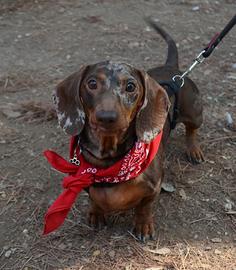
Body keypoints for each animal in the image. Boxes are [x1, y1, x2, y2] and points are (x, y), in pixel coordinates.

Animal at [52, 21, 204, 240]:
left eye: (131, 86)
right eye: (92, 83)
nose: (107, 117)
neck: (109, 162)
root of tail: (173, 70)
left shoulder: (154, 187)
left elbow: (144, 207)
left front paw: (143, 226)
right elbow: (94, 200)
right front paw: (96, 214)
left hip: (194, 113)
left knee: (191, 131)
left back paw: (194, 150)